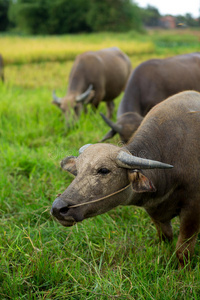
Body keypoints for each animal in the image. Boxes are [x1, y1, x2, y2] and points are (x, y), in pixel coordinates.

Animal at [51, 91, 200, 268]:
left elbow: (182, 251)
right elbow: (165, 237)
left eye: (104, 170)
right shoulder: (154, 210)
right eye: (77, 171)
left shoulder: (192, 210)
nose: (58, 208)